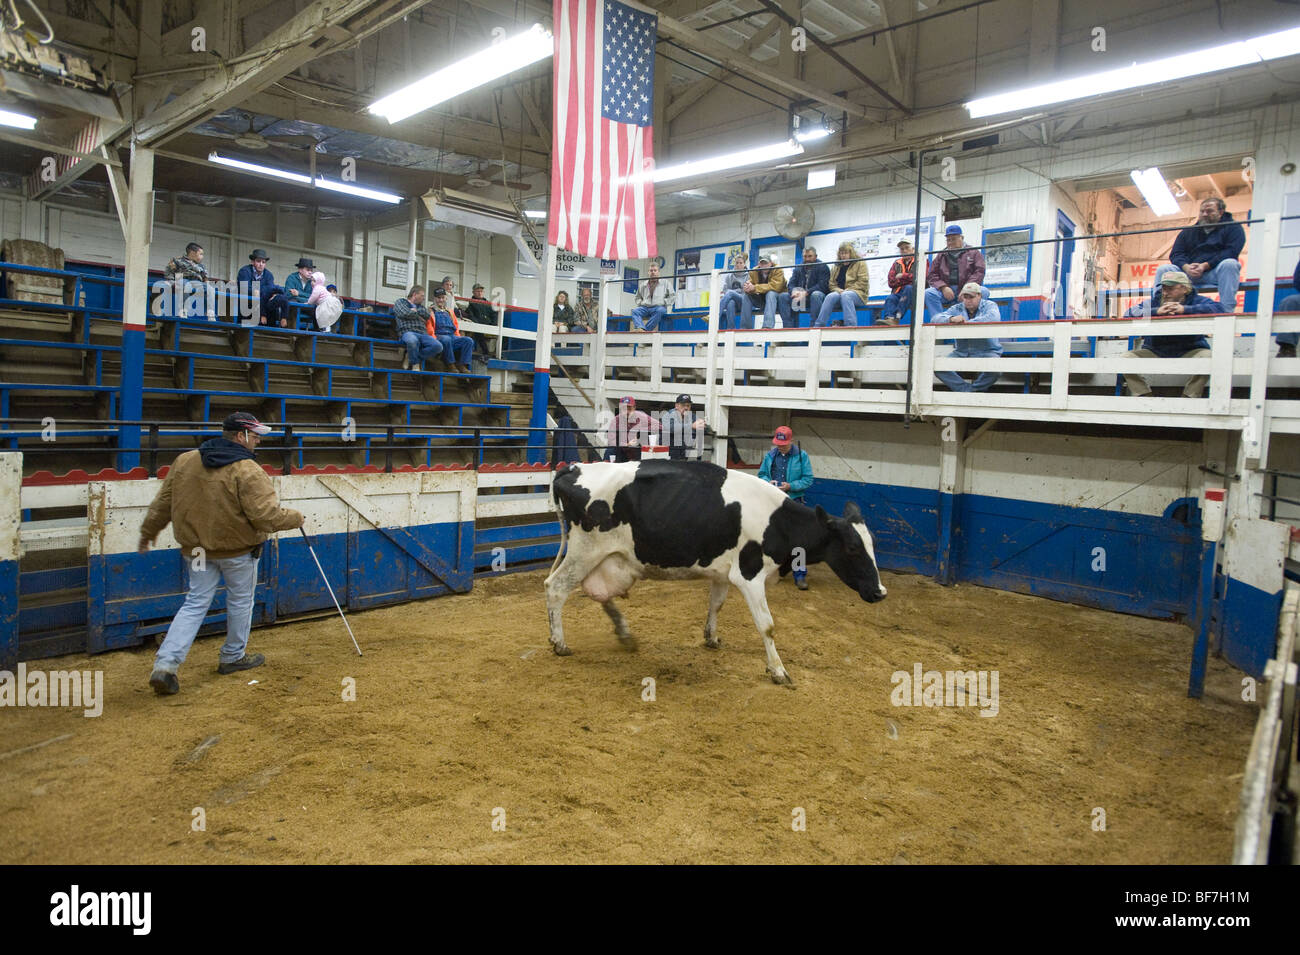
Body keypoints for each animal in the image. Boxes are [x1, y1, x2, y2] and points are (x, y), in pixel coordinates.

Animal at [545, 459, 887, 686]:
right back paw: (559, 642)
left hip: (609, 558)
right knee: (555, 587)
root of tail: (573, 468)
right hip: (584, 551)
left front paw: (711, 637)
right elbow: (767, 625)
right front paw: (777, 670)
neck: (776, 522)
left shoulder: (724, 573)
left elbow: (716, 604)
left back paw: (624, 633)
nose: (880, 592)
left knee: (599, 592)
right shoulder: (749, 575)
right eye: (852, 548)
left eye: (873, 544)